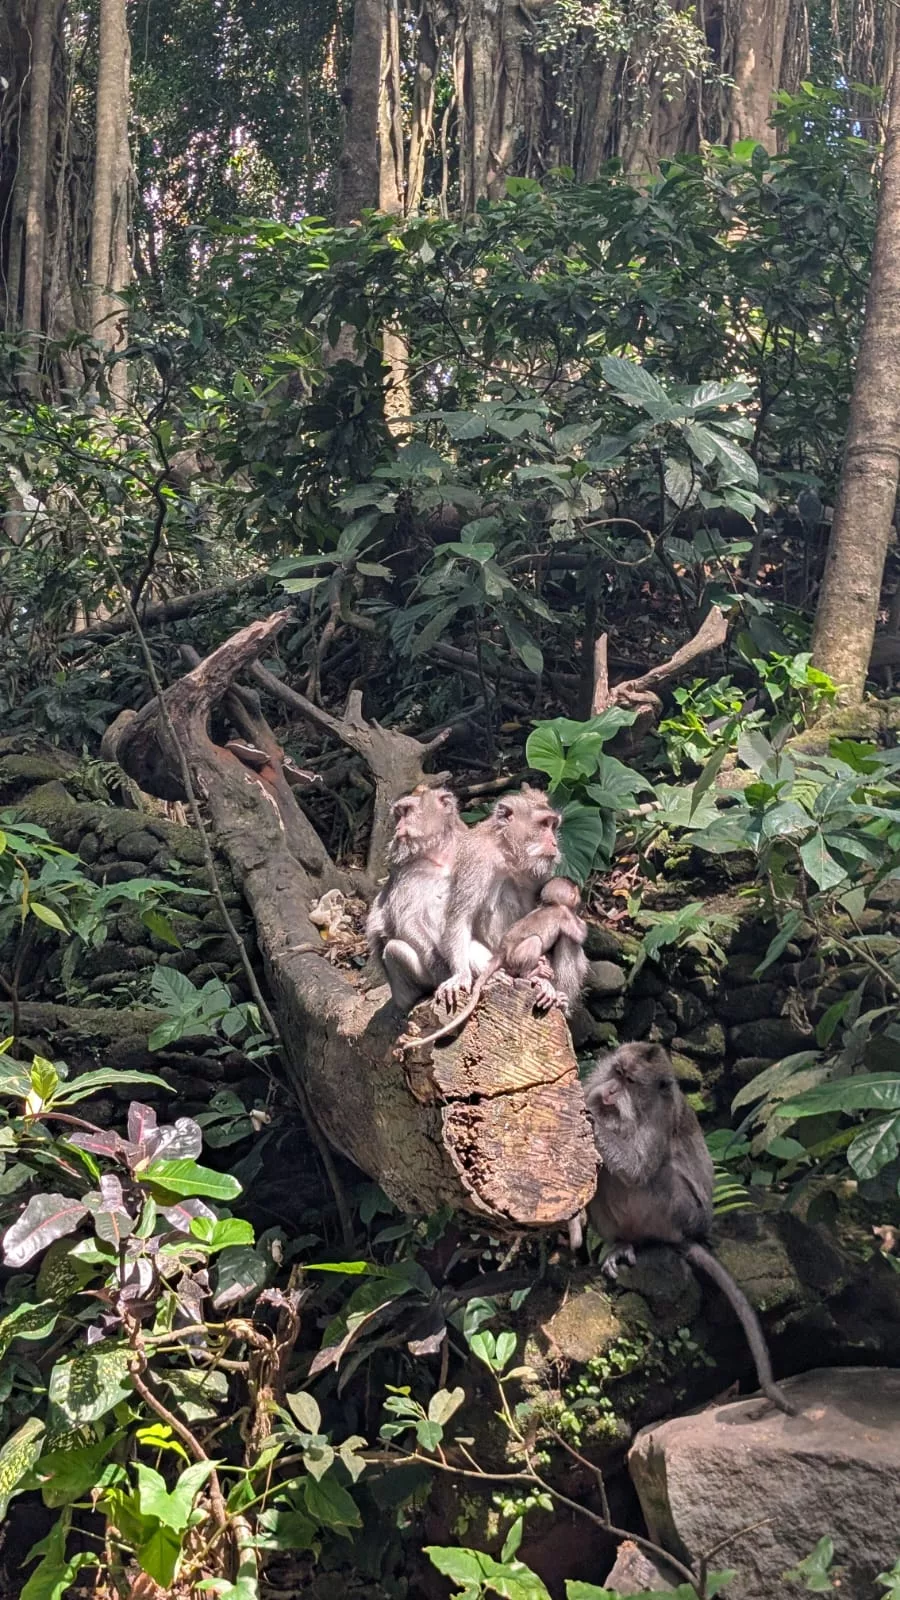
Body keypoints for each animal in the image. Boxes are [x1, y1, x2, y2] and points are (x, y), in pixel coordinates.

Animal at [366, 786, 466, 1011]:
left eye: (407, 812)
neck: (441, 857)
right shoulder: (408, 875)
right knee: (394, 949)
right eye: (398, 815)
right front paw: (447, 973)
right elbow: (408, 921)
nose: (397, 828)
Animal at [400, 877, 588, 1049]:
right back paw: (531, 974)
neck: (551, 905)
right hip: (515, 957)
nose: (580, 896)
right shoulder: (565, 914)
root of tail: (502, 951)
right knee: (538, 941)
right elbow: (578, 935)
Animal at [435, 784, 563, 1010]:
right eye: (543, 825)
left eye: (553, 825)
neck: (508, 853)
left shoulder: (539, 871)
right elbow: (460, 918)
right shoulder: (477, 858)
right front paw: (460, 976)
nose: (554, 843)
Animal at [582, 1042, 795, 1416]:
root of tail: (689, 1236)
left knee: (654, 1175)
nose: (608, 1093)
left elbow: (637, 1168)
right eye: (616, 1072)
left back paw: (643, 1241)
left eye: (629, 1081)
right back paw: (622, 1243)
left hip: (678, 1215)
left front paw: (592, 1118)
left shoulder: (659, 1118)